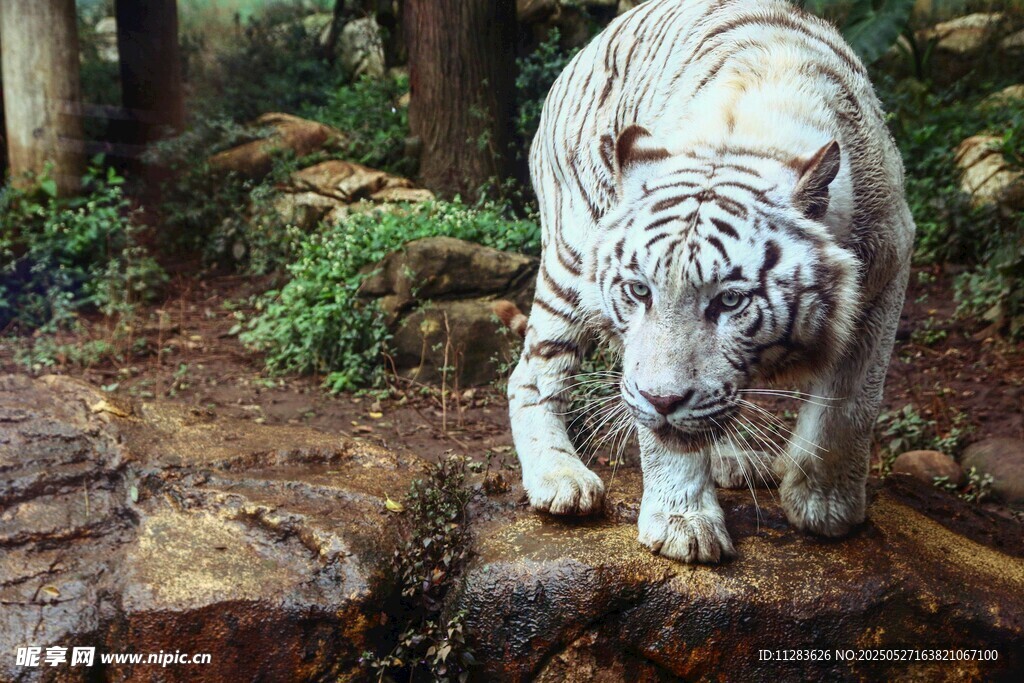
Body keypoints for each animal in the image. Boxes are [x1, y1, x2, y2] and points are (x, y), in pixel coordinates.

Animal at [506, 0, 914, 563]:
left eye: (730, 301)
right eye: (640, 291)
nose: (663, 401)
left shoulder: (887, 270)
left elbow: (850, 405)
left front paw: (825, 506)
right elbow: (660, 437)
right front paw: (684, 525)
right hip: (570, 256)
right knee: (531, 373)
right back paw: (559, 478)